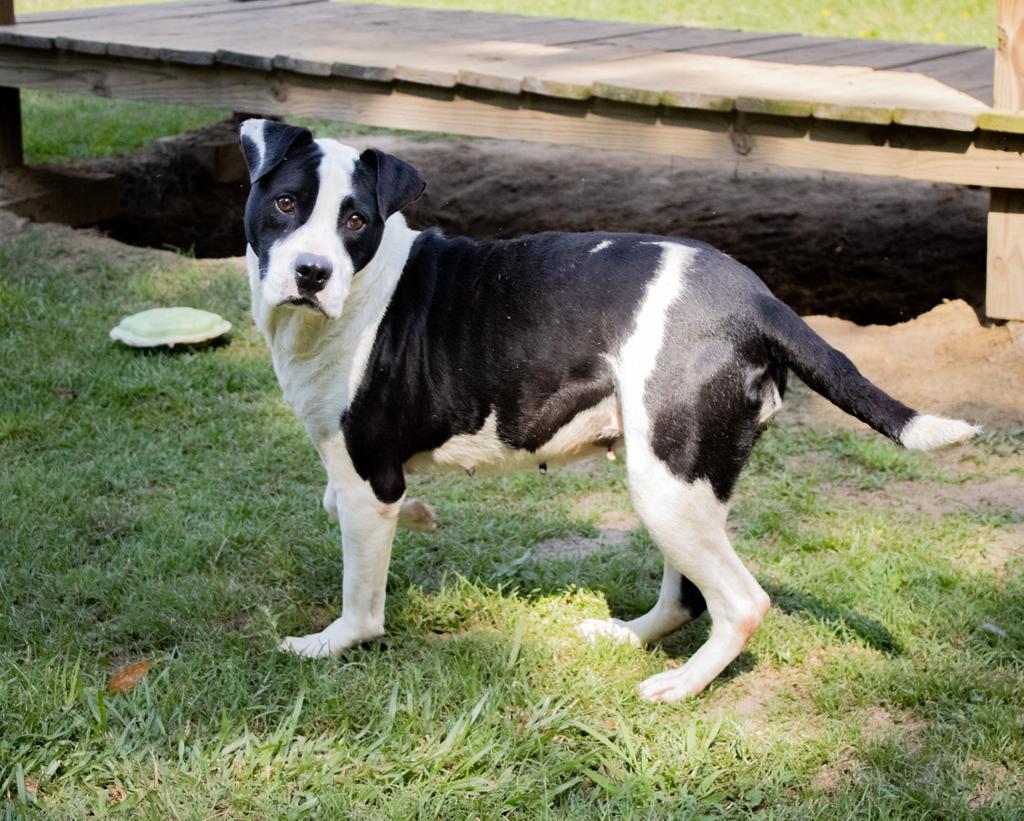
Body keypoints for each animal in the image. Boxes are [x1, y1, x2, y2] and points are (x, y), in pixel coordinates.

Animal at [237, 118, 974, 700]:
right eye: (285, 203)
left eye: (355, 220)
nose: (311, 273)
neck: (366, 291)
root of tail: (760, 301)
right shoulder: (361, 473)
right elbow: (336, 500)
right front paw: (419, 514)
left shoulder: (367, 473)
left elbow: (362, 602)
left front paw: (329, 643)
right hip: (683, 478)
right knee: (688, 595)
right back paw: (628, 634)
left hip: (665, 485)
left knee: (742, 601)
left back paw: (679, 686)